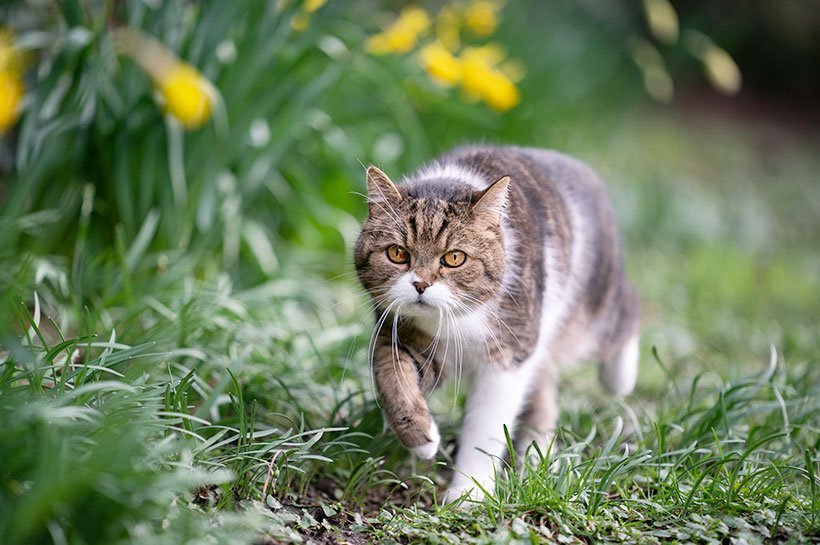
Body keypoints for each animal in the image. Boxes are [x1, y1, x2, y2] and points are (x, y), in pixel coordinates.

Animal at [352, 144, 640, 502]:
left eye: (454, 258)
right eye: (397, 253)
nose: (420, 284)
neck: (456, 321)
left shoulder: (509, 352)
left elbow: (487, 426)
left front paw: (469, 493)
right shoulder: (405, 336)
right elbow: (392, 378)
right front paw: (422, 439)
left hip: (590, 309)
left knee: (627, 309)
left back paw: (620, 379)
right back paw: (538, 456)